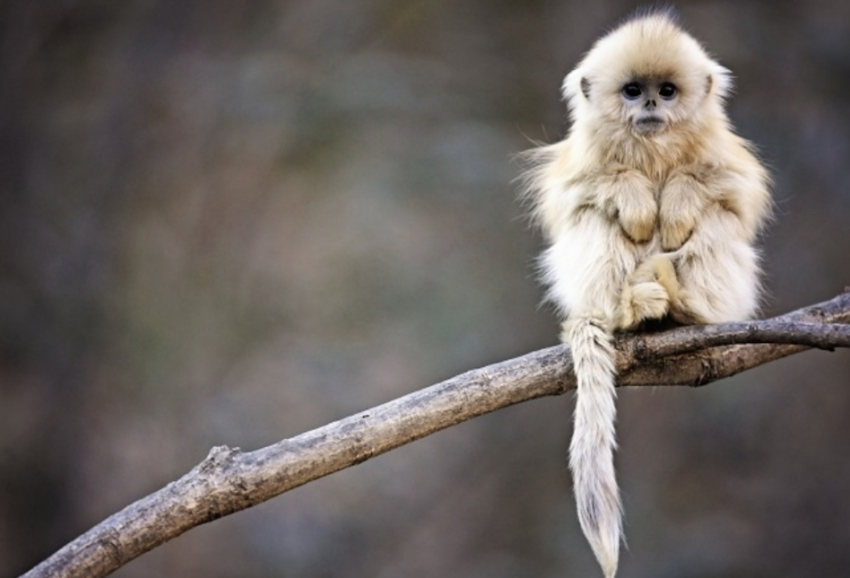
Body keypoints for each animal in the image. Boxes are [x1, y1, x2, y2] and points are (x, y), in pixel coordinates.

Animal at [520, 10, 772, 576]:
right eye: (633, 91)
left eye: (668, 91)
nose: (652, 105)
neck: (653, 150)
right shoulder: (580, 161)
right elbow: (576, 195)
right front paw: (636, 198)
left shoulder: (724, 154)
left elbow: (734, 192)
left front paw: (676, 201)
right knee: (594, 218)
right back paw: (631, 310)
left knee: (717, 219)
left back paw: (684, 305)